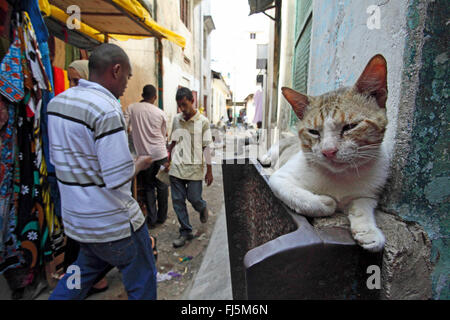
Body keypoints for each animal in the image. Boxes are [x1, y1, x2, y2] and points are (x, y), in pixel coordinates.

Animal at [264, 55, 390, 252]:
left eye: (350, 126)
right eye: (313, 132)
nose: (328, 151)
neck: (340, 176)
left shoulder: (370, 192)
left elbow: (362, 206)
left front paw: (368, 231)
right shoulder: (280, 179)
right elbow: (300, 196)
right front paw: (326, 202)